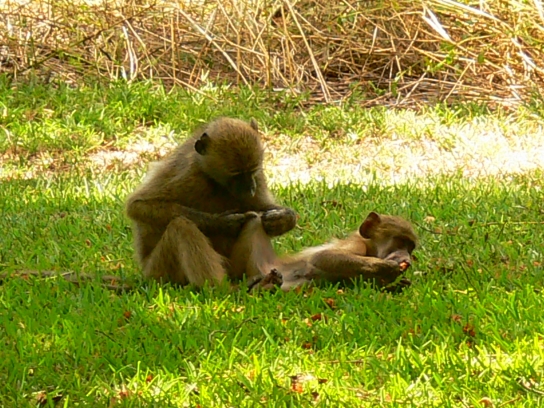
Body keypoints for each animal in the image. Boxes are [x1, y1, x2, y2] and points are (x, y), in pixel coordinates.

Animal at [125, 117, 297, 287]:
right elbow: (138, 206)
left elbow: (261, 209)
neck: (212, 179)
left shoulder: (259, 177)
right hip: (159, 271)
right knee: (181, 226)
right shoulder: (185, 173)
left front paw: (283, 219)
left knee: (254, 219)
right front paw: (221, 223)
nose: (251, 189)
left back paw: (262, 283)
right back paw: (221, 289)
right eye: (236, 174)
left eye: (252, 171)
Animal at [234, 211, 418, 292]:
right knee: (254, 221)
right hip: (258, 266)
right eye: (400, 242)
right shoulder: (357, 245)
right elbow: (322, 257)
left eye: (410, 248)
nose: (407, 259)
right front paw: (387, 268)